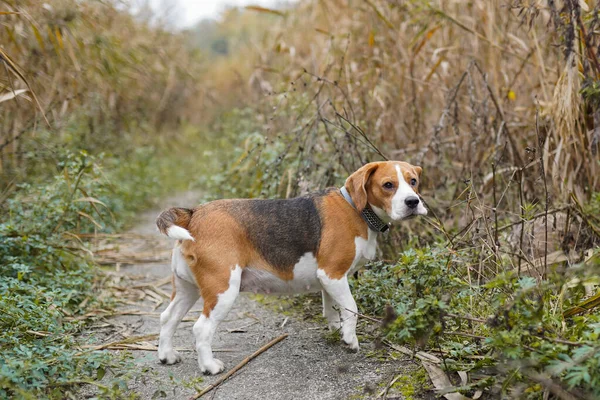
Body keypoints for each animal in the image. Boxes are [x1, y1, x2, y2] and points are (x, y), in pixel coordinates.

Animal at [155, 161, 426, 374]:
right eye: (388, 185)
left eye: (413, 181)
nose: (413, 202)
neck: (357, 209)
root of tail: (194, 213)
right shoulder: (333, 274)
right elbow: (351, 308)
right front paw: (350, 339)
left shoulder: (329, 280)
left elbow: (332, 309)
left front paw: (337, 330)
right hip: (223, 290)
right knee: (201, 328)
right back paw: (210, 366)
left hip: (187, 289)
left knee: (168, 317)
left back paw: (167, 355)